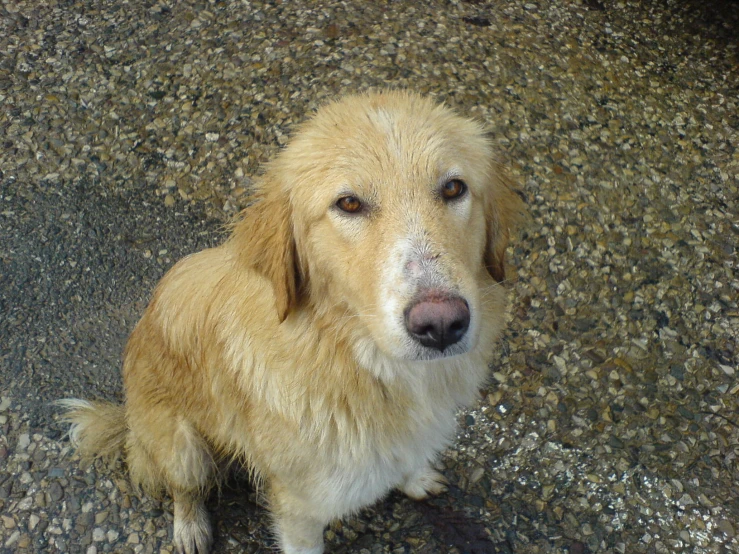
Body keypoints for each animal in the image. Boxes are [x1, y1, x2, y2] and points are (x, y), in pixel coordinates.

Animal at [62, 91, 528, 552]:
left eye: (453, 188)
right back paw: (190, 526)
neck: (360, 361)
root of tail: (127, 419)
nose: (441, 324)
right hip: (181, 446)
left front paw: (414, 477)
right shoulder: (299, 507)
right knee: (183, 487)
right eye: (349, 203)